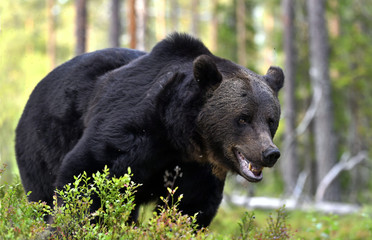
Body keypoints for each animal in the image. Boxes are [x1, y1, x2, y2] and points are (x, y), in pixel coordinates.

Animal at [13, 33, 282, 227]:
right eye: (243, 118)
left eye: (271, 120)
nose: (269, 153)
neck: (179, 135)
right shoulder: (131, 130)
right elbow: (87, 173)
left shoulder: (197, 168)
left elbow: (191, 207)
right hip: (42, 143)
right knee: (41, 195)